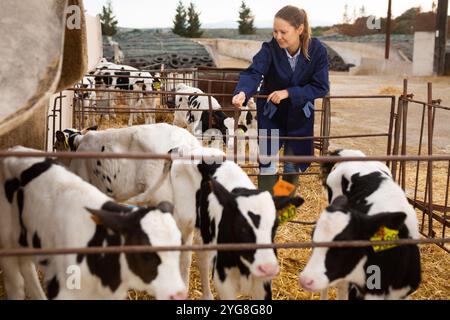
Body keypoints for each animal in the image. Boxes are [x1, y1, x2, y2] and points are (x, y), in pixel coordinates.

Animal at [0, 147, 186, 300]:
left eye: (178, 247)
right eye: (145, 254)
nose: (179, 294)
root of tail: (14, 149)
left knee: (26, 268)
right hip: (6, 243)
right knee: (15, 284)